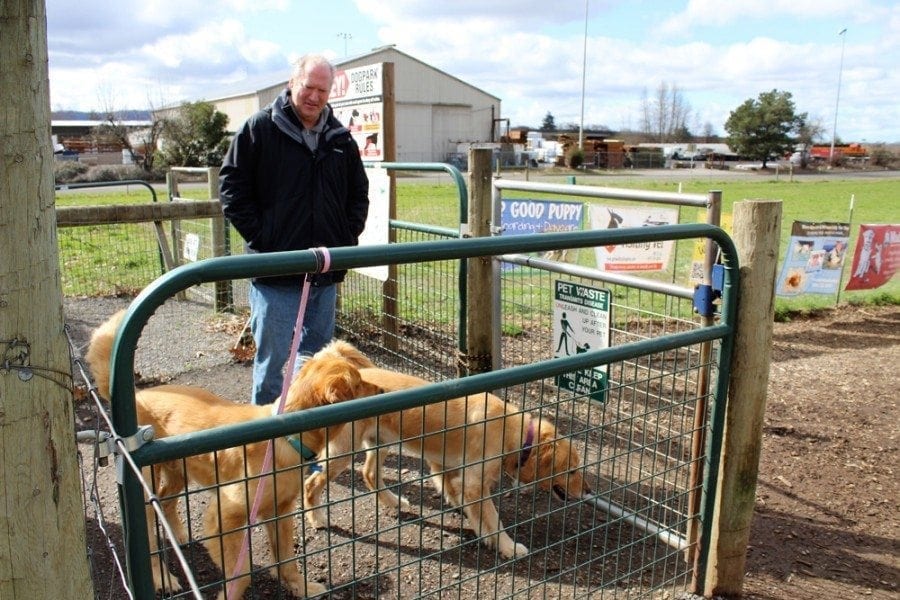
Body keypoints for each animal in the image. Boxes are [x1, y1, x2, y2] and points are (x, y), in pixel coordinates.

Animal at [85, 312, 382, 599]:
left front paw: (301, 587)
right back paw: (163, 578)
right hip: (146, 491)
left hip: (178, 472)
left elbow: (286, 559)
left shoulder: (280, 510)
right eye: (358, 384)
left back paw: (179, 535)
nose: (382, 391)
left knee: (167, 502)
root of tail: (137, 396)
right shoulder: (223, 518)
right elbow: (242, 574)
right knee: (149, 542)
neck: (285, 438)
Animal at [302, 343, 591, 559]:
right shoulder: (473, 481)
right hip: (342, 451)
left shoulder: (448, 467)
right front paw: (507, 546)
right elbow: (492, 517)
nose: (589, 492)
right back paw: (316, 518)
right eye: (572, 470)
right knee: (311, 483)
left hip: (380, 442)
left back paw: (395, 502)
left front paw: (477, 526)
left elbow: (461, 498)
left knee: (369, 474)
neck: (512, 432)